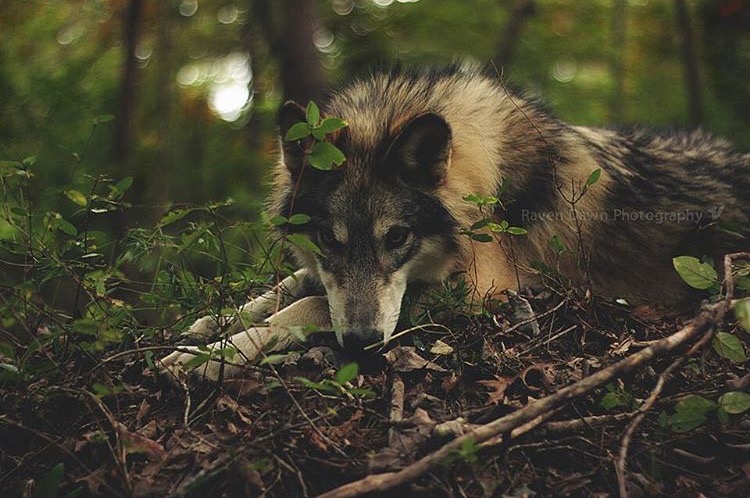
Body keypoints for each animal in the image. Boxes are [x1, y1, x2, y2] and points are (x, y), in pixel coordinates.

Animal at [161, 65, 750, 379]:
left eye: (398, 237)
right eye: (329, 238)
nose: (363, 343)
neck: (484, 173)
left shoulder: (480, 293)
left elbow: (305, 306)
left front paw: (213, 355)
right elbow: (288, 287)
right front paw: (208, 326)